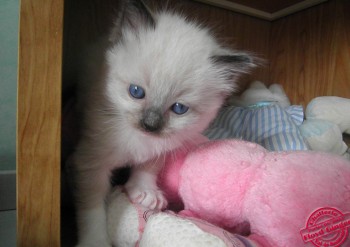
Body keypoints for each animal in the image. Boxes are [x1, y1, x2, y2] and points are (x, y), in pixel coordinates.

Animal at [71, 0, 256, 245]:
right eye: (136, 92)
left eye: (179, 108)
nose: (150, 125)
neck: (139, 140)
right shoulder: (91, 162)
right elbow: (92, 209)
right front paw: (95, 240)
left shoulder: (161, 147)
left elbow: (147, 167)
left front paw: (144, 192)